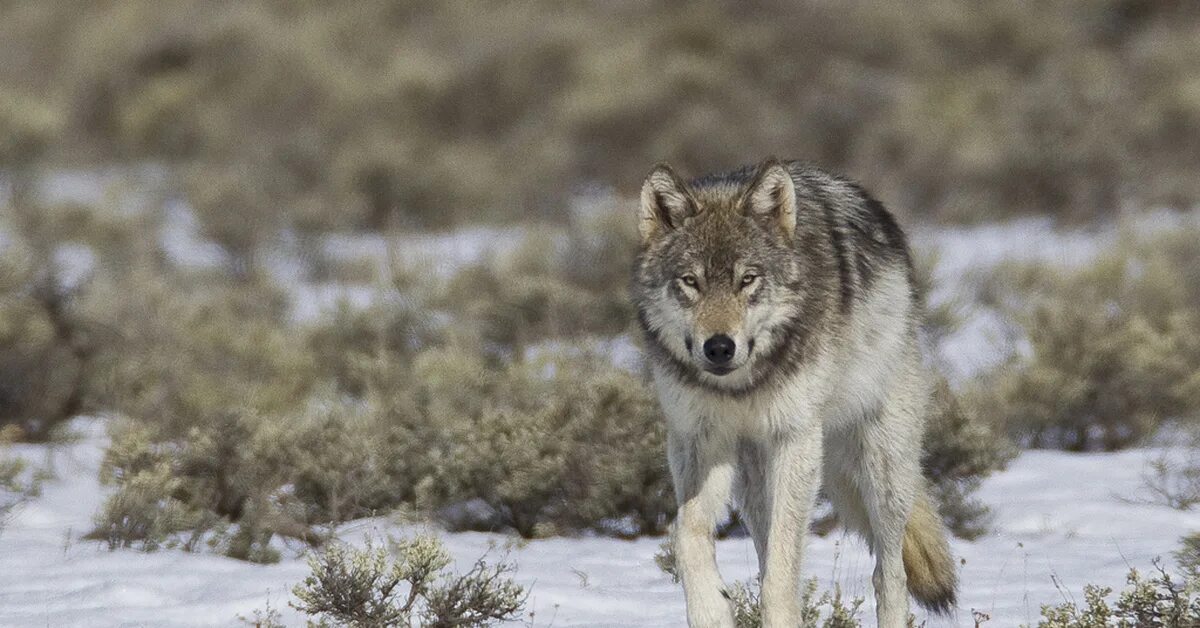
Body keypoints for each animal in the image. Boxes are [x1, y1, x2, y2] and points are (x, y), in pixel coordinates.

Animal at [628, 158, 955, 628]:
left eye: (748, 279)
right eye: (690, 281)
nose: (719, 347)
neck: (741, 386)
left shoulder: (795, 437)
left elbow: (783, 569)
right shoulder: (697, 441)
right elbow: (686, 532)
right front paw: (711, 608)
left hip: (882, 466)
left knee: (889, 573)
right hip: (753, 479)